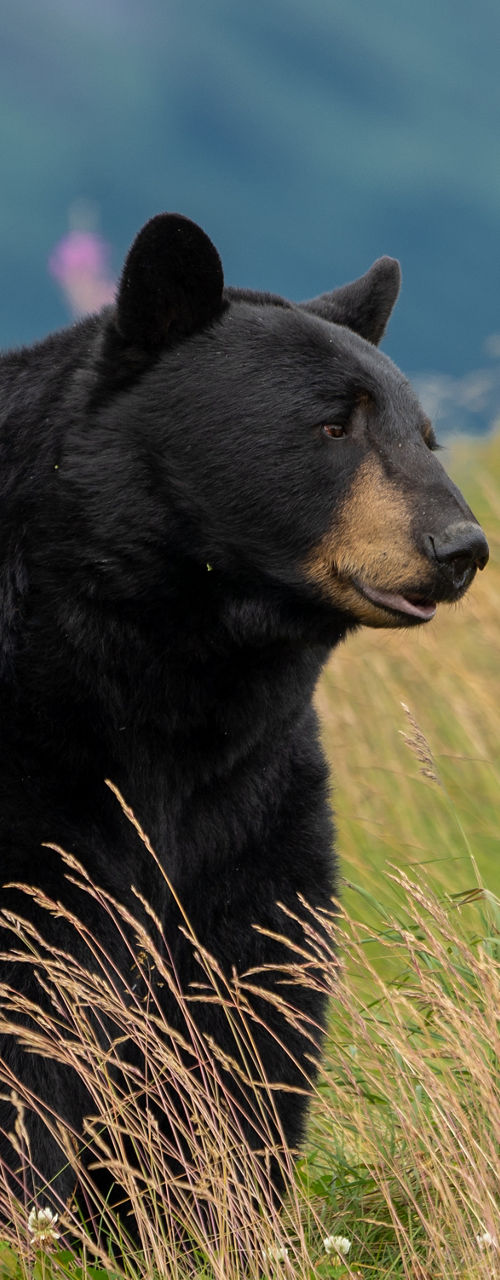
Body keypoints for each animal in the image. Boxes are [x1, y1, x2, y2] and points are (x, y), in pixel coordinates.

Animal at [0, 213, 488, 1240]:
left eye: (423, 434)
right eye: (333, 424)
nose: (460, 547)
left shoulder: (252, 789)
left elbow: (246, 994)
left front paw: (218, 1211)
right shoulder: (34, 772)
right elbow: (33, 989)